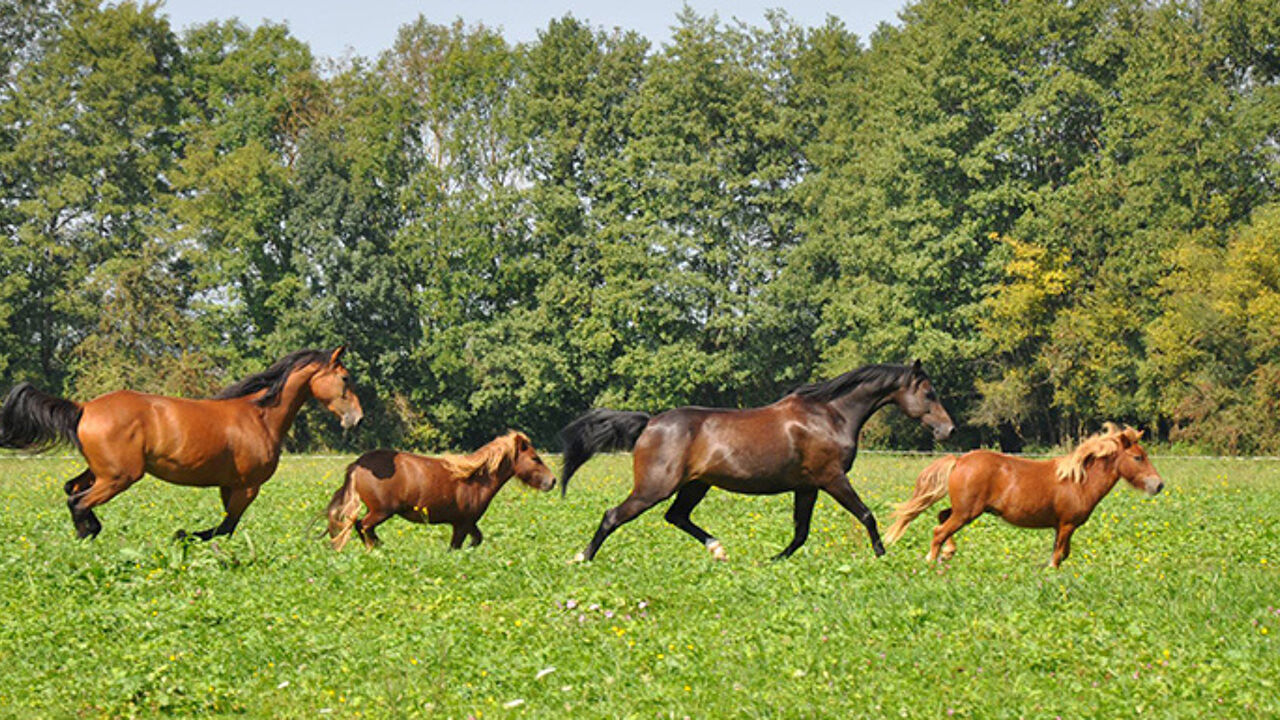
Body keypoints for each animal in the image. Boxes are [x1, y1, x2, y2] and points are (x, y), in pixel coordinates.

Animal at [0, 345, 363, 538]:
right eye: (345, 378)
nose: (357, 418)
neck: (259, 416)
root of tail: (84, 407)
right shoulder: (248, 486)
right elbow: (225, 527)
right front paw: (185, 536)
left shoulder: (229, 485)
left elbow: (226, 524)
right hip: (119, 476)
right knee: (78, 501)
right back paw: (89, 533)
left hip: (100, 471)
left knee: (72, 490)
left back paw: (88, 533)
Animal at [325, 425, 555, 548]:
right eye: (535, 458)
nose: (552, 481)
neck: (474, 480)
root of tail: (357, 464)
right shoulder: (461, 524)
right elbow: (455, 547)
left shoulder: (468, 523)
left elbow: (477, 540)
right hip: (381, 511)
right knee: (362, 526)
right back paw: (376, 548)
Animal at [558, 358, 952, 561]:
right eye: (929, 393)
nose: (948, 429)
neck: (829, 415)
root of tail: (649, 423)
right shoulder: (832, 478)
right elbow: (866, 514)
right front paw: (883, 554)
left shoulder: (807, 486)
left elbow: (801, 531)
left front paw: (775, 560)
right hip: (655, 486)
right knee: (613, 516)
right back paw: (582, 558)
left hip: (695, 485)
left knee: (676, 516)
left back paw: (718, 549)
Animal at [885, 420, 1167, 566]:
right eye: (1138, 457)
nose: (1158, 485)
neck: (1079, 481)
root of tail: (959, 460)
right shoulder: (1067, 525)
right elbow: (1058, 556)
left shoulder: (1061, 527)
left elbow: (1062, 554)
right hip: (967, 512)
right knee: (939, 531)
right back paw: (932, 559)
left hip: (963, 509)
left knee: (942, 518)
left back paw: (948, 553)